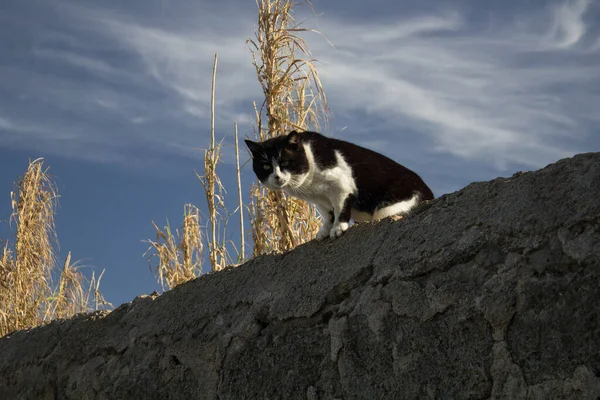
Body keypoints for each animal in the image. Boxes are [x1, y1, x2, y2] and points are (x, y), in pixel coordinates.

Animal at [246, 130, 434, 241]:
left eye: (285, 162)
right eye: (265, 166)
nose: (277, 176)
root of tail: (429, 193)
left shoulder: (341, 187)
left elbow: (340, 209)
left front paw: (338, 229)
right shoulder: (321, 200)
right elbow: (328, 214)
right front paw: (325, 231)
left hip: (387, 209)